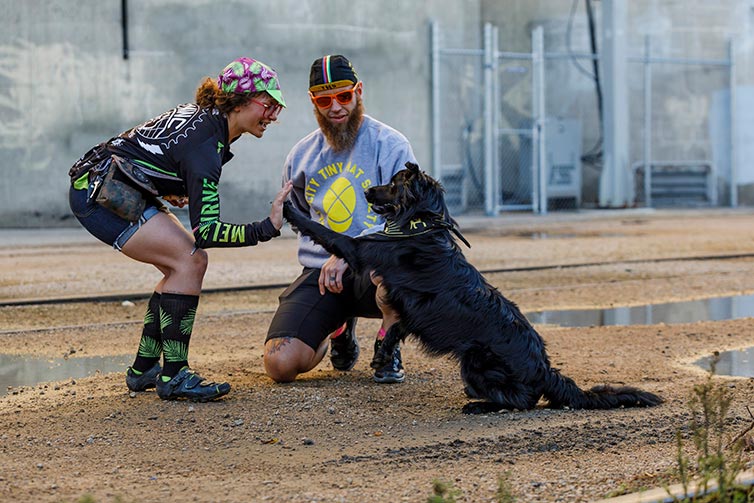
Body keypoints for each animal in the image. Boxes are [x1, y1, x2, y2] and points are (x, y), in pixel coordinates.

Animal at [282, 163, 656, 416]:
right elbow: (396, 328)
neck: (421, 223)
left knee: (524, 401)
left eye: (392, 184)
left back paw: (480, 405)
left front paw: (288, 210)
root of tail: (544, 369)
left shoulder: (363, 252)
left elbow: (328, 234)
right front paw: (383, 353)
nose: (368, 191)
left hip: (474, 361)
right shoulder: (406, 305)